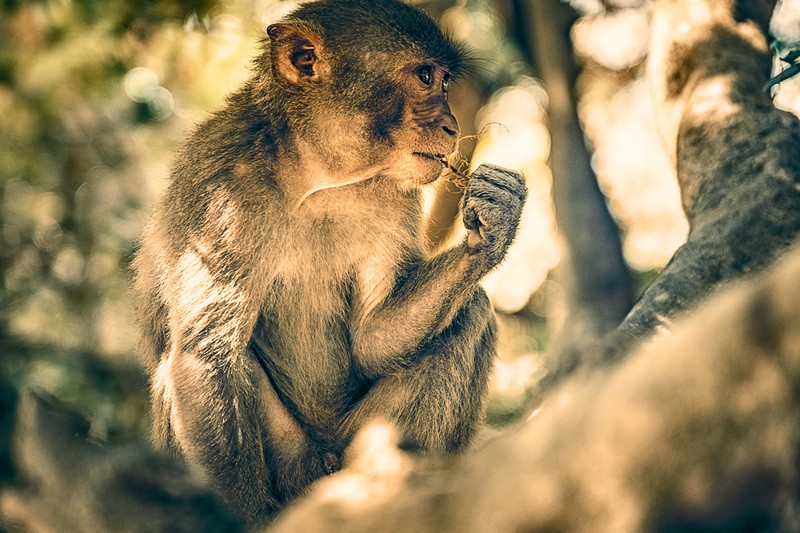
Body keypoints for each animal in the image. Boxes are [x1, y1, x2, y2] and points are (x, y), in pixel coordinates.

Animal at [133, 0, 524, 524]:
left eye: (444, 82)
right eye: (425, 77)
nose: (452, 126)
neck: (311, 176)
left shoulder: (394, 197)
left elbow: (372, 341)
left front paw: (495, 222)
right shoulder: (219, 195)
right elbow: (205, 355)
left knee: (471, 312)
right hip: (295, 467)